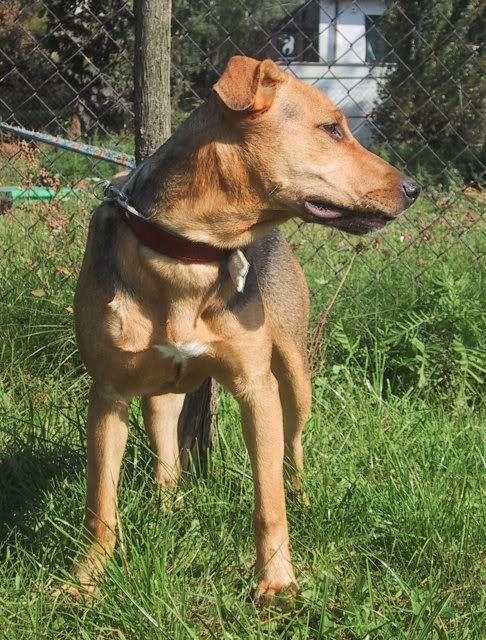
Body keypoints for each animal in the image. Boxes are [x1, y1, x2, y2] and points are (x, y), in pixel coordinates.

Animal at [72, 56, 420, 602]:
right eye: (331, 129)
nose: (414, 189)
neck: (191, 251)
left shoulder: (257, 388)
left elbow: (268, 504)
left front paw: (276, 583)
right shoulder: (108, 394)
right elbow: (100, 506)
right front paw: (86, 581)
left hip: (295, 378)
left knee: (293, 451)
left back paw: (304, 499)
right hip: (159, 395)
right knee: (167, 458)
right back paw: (168, 511)